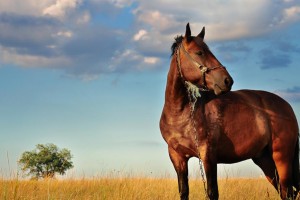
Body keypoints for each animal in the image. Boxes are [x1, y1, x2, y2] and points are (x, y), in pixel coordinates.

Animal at [159, 22, 298, 199]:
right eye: (199, 52)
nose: (227, 81)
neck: (181, 113)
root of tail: (287, 106)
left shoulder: (208, 156)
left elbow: (212, 192)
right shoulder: (177, 157)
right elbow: (184, 191)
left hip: (282, 158)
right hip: (265, 160)